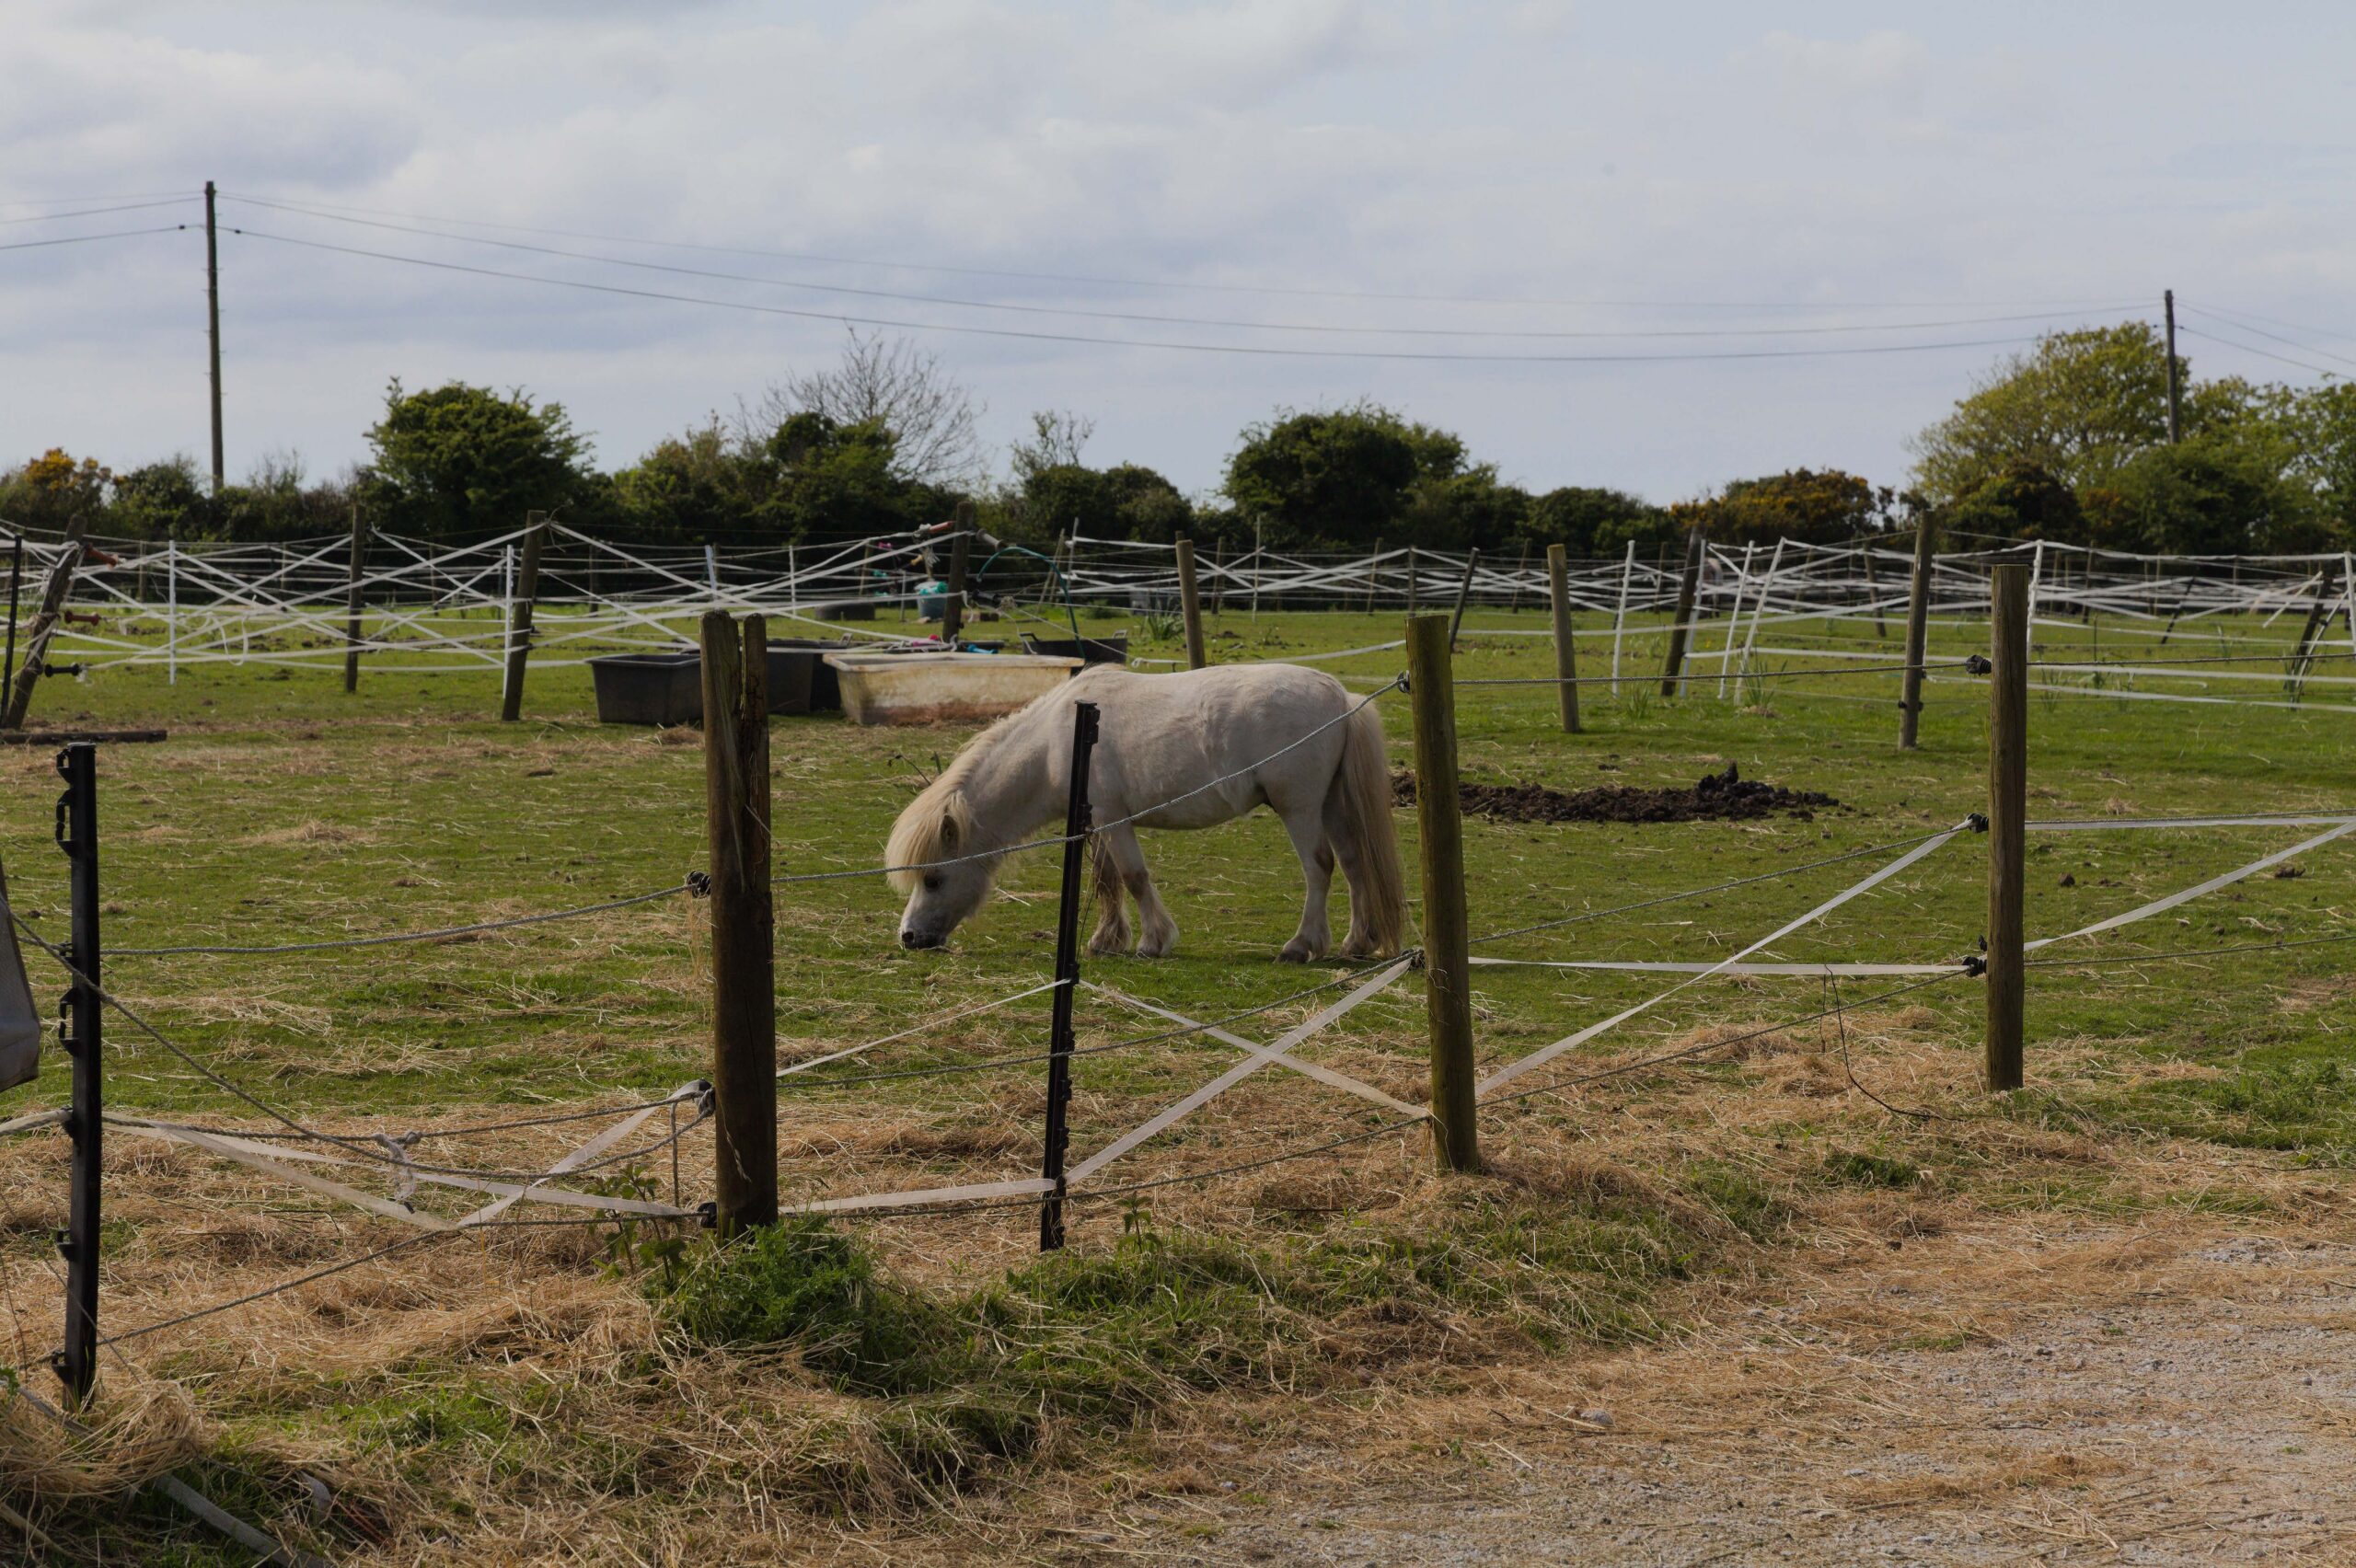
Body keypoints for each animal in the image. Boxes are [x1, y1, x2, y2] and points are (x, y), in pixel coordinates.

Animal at [886, 663, 1407, 962]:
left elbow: (1133, 877)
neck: (1058, 740)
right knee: (1356, 866)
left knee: (1320, 868)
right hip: (1332, 805)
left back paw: (1302, 945)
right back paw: (1357, 943)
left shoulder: (1113, 819)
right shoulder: (1095, 823)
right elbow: (1107, 880)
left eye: (934, 879)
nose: (909, 937)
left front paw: (1153, 941)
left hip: (1299, 808)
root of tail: (1341, 697)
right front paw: (1107, 940)